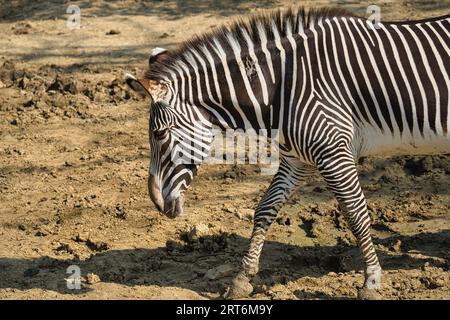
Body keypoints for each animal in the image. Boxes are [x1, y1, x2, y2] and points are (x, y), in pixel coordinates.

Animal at [125, 8, 450, 300]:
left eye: (159, 134)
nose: (156, 203)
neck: (281, 89)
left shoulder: (334, 153)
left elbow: (356, 215)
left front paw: (370, 282)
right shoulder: (297, 160)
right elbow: (264, 209)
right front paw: (242, 279)